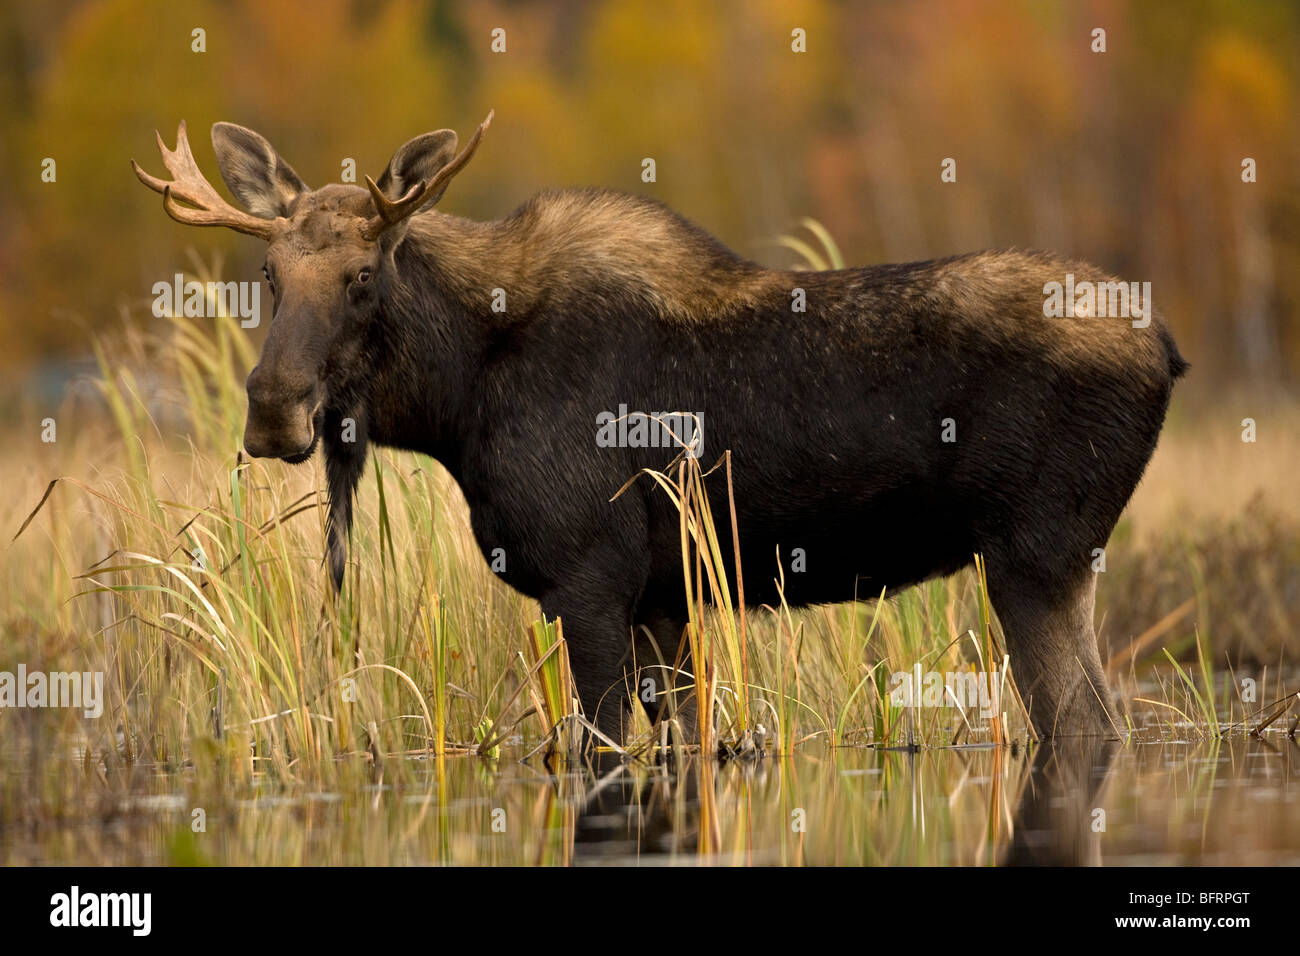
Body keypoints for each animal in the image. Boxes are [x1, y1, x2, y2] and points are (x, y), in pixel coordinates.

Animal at [133, 113, 1187, 743]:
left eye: (362, 275)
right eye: (268, 275)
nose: (274, 408)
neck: (458, 399)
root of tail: (1170, 349)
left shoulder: (588, 578)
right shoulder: (663, 597)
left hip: (1035, 558)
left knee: (1087, 726)